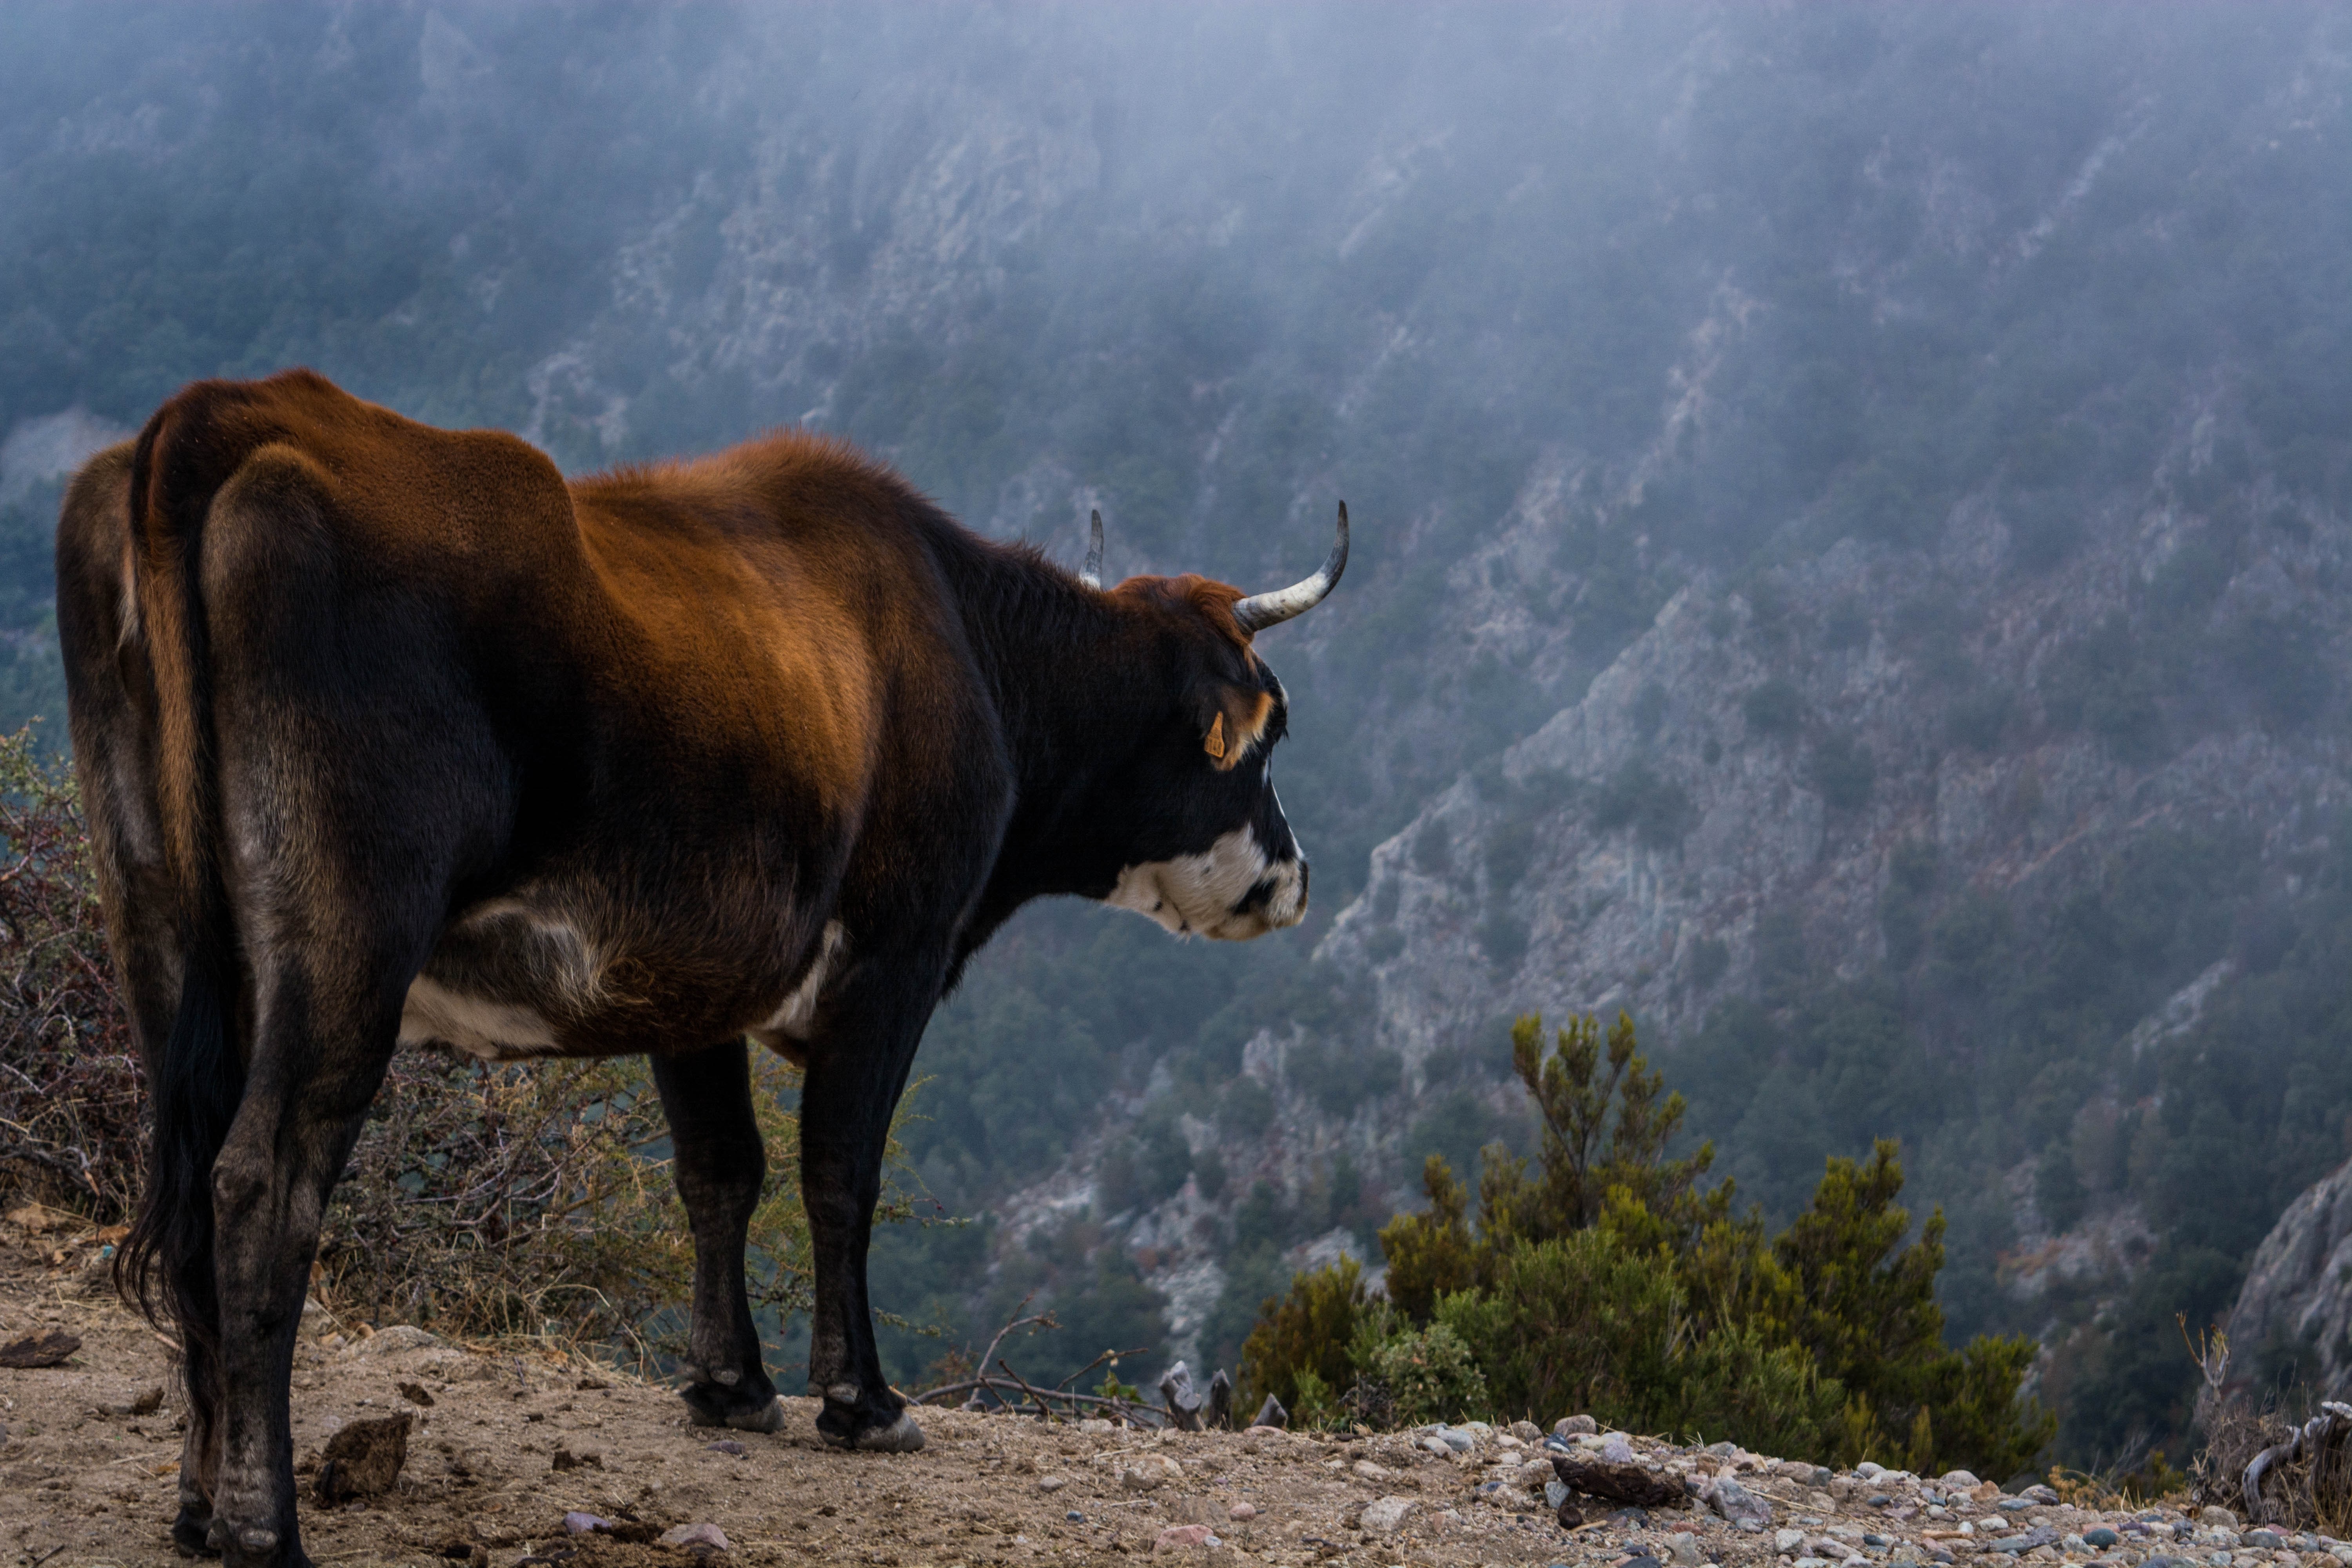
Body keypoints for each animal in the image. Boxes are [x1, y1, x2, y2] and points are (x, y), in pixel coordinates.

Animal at [53, 369, 1347, 1567]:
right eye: (1269, 731)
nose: (1294, 879)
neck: (966, 643)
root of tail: (232, 411)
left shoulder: (690, 978)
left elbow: (721, 1171)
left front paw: (731, 1385)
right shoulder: (896, 955)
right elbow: (838, 1174)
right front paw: (862, 1401)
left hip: (160, 929)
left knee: (187, 1182)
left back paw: (196, 1510)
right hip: (348, 939)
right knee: (258, 1185)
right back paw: (263, 1525)